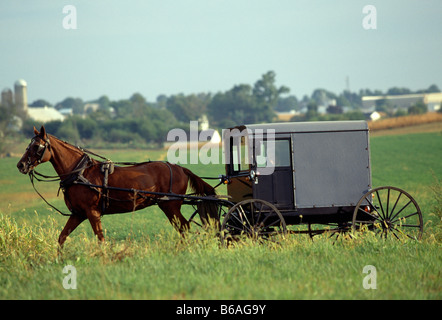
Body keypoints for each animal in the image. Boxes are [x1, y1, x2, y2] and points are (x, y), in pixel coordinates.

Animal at [16, 126, 217, 246]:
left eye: (37, 146)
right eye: (29, 145)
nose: (21, 165)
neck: (81, 172)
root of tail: (179, 167)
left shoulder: (92, 212)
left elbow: (100, 238)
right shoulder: (78, 214)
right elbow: (62, 237)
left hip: (171, 205)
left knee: (184, 227)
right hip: (169, 206)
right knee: (183, 228)